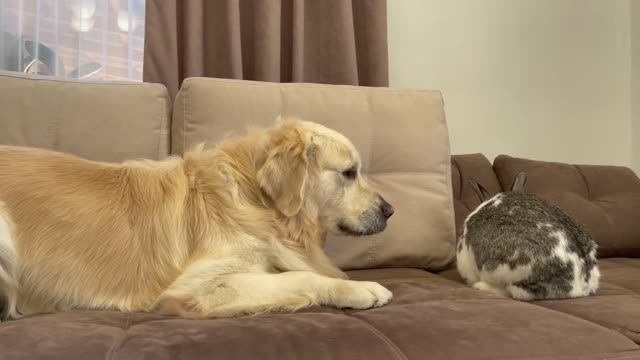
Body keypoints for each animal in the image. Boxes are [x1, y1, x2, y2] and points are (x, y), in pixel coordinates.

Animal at [0, 119, 396, 320]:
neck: (253, 198)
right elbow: (302, 276)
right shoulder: (197, 287)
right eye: (350, 173)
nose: (391, 210)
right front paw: (361, 289)